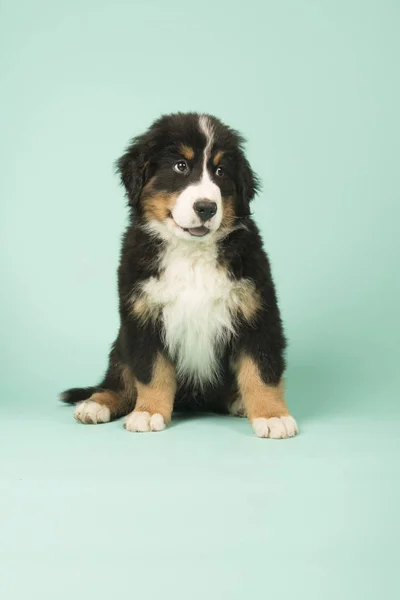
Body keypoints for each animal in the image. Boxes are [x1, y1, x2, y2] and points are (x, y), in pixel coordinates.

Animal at [59, 112, 296, 438]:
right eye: (180, 166)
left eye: (220, 171)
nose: (206, 207)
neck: (190, 254)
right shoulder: (142, 316)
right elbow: (151, 371)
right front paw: (148, 411)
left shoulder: (257, 312)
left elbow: (262, 370)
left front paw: (272, 416)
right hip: (121, 343)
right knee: (119, 379)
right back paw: (98, 403)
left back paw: (239, 402)